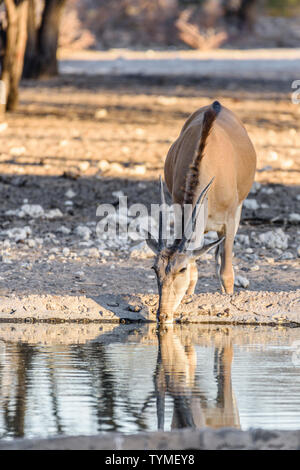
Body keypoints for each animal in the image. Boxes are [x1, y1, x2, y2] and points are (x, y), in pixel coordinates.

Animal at [145, 100, 255, 324]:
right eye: (155, 268)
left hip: (237, 211)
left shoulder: (230, 221)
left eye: (181, 269)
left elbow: (226, 272)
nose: (162, 315)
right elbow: (195, 274)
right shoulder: (181, 213)